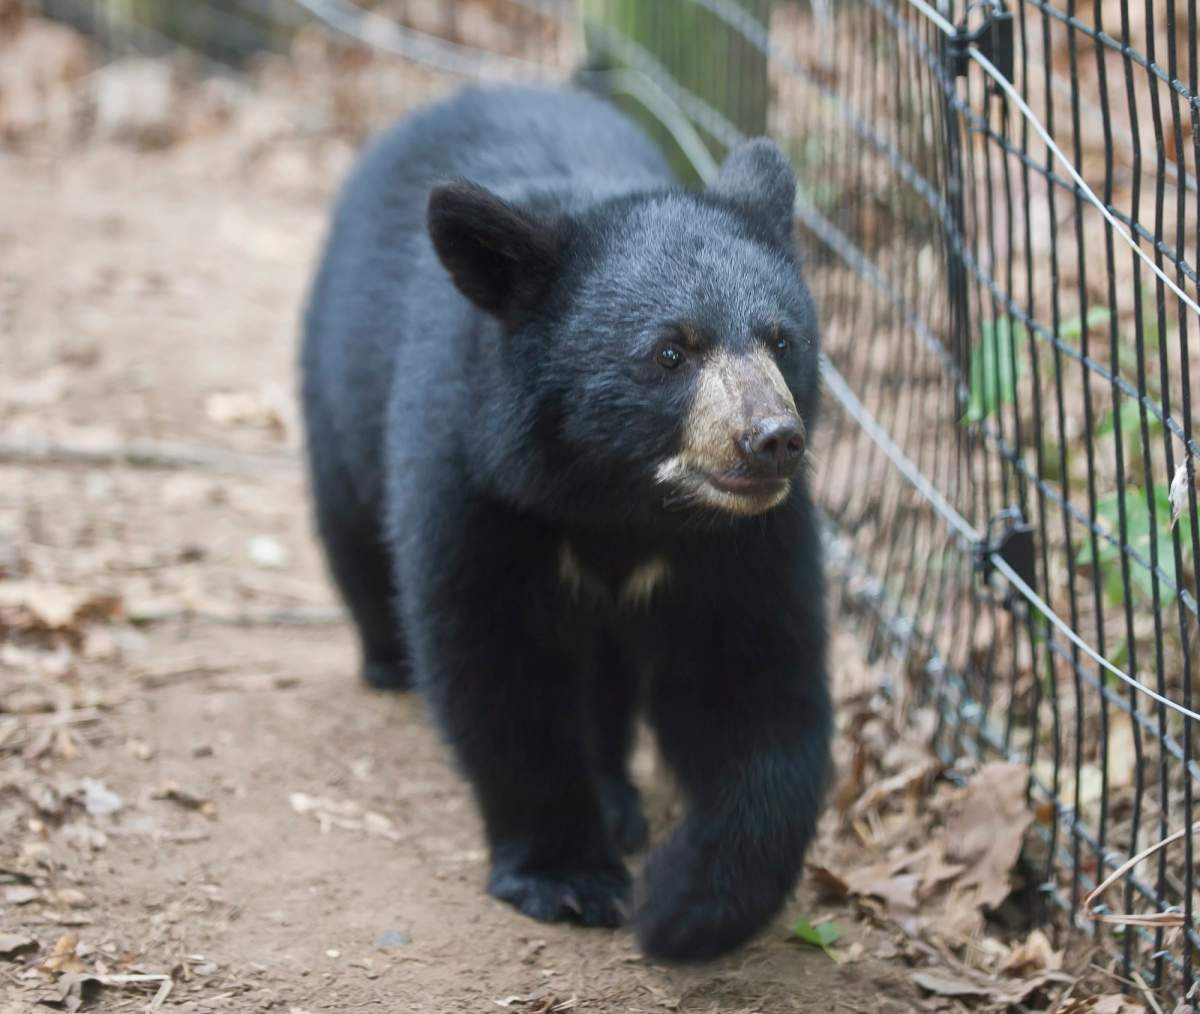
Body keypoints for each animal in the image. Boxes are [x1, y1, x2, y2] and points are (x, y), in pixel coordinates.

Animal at [300, 83, 831, 963]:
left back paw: (619, 798)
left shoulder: (745, 540)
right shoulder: (477, 477)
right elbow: (495, 661)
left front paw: (687, 903)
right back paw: (386, 660)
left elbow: (753, 680)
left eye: (782, 341)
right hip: (336, 384)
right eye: (670, 352)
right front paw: (568, 877)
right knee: (351, 528)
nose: (772, 440)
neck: (615, 498)